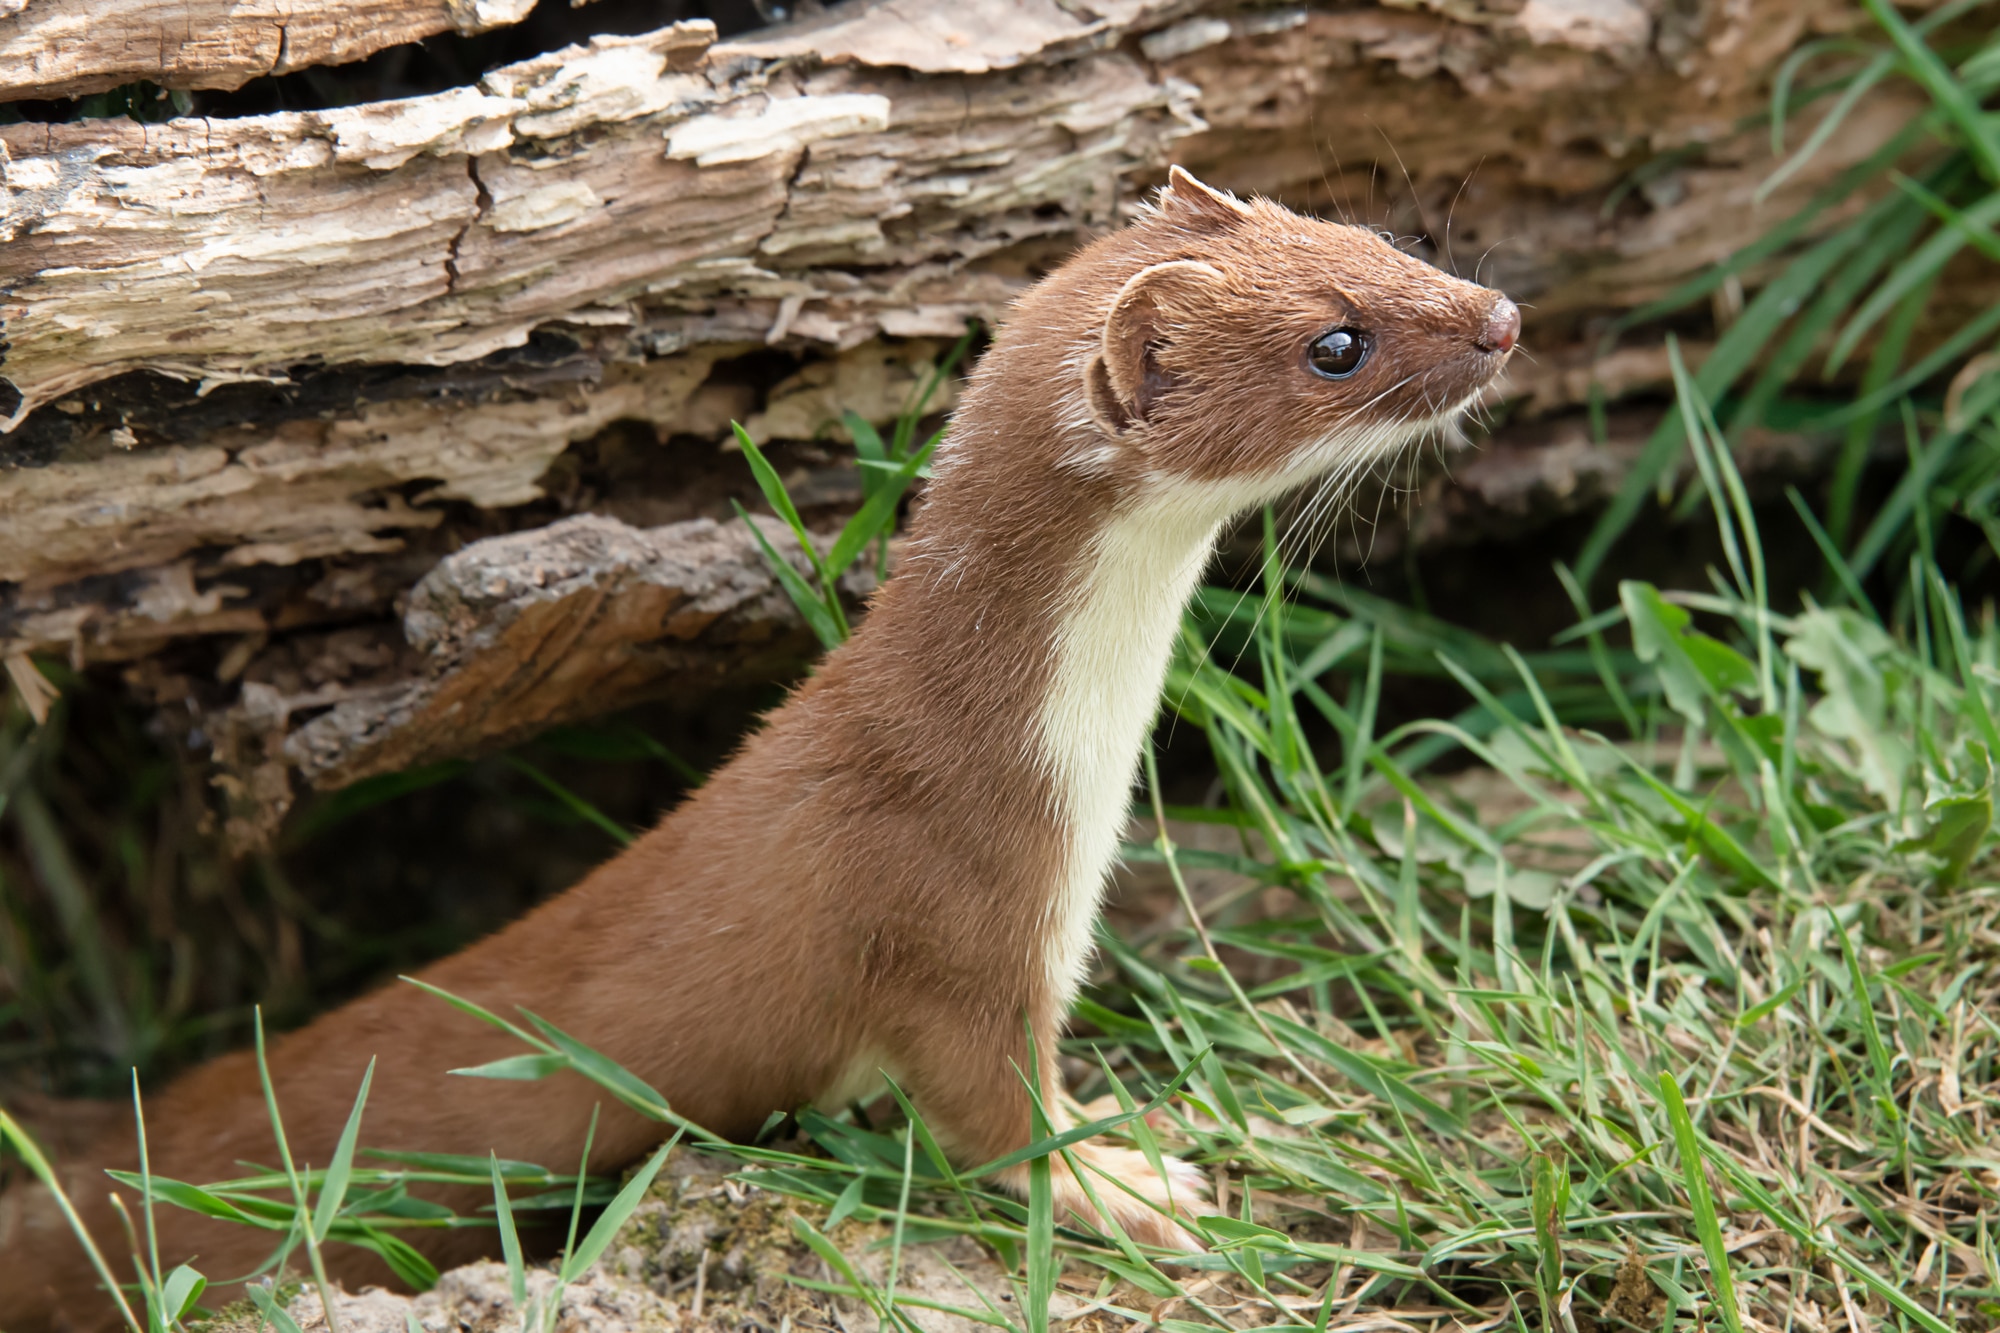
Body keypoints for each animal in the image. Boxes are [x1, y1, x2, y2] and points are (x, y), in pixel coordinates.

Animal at [0, 166, 1512, 1320]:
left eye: (1371, 238)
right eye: (1336, 342)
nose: (1500, 315)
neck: (1072, 766)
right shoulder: (945, 912)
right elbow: (991, 1117)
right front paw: (1136, 1190)